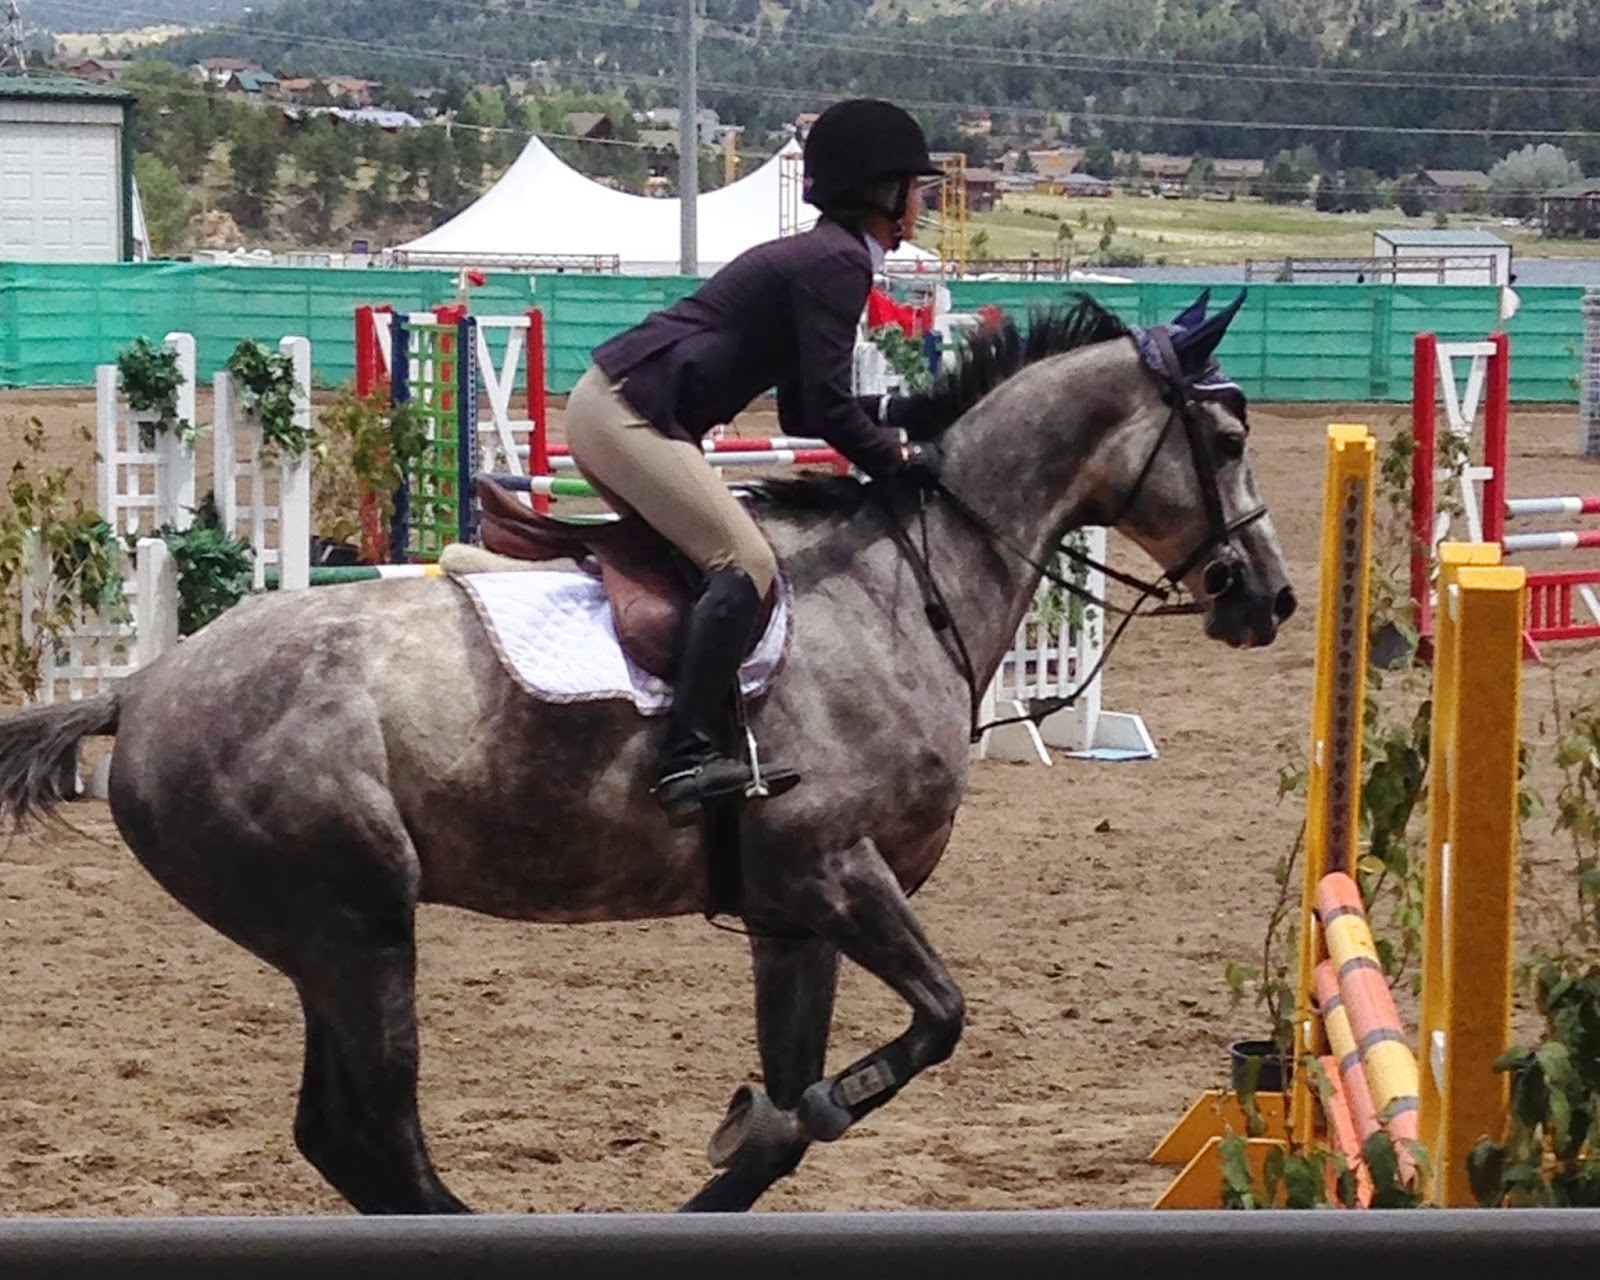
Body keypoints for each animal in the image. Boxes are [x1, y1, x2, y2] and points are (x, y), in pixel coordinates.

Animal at [0, 293, 1295, 1215]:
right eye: (1226, 434)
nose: (1271, 597)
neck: (903, 587)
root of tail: (140, 687)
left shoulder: (792, 912)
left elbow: (797, 1100)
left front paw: (755, 1133)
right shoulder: (835, 869)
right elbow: (931, 1024)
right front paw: (775, 1119)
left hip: (333, 941)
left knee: (345, 1139)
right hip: (356, 925)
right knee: (375, 1137)